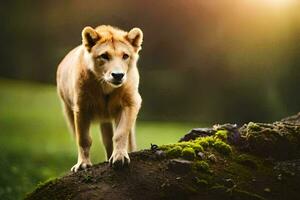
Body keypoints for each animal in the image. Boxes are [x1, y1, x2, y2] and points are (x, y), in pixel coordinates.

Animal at [56, 25, 143, 172]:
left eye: (125, 56)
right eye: (104, 56)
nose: (118, 75)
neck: (106, 86)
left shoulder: (130, 103)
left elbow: (120, 133)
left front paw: (119, 157)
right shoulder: (81, 108)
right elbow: (83, 139)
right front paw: (83, 164)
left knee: (125, 139)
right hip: (69, 111)